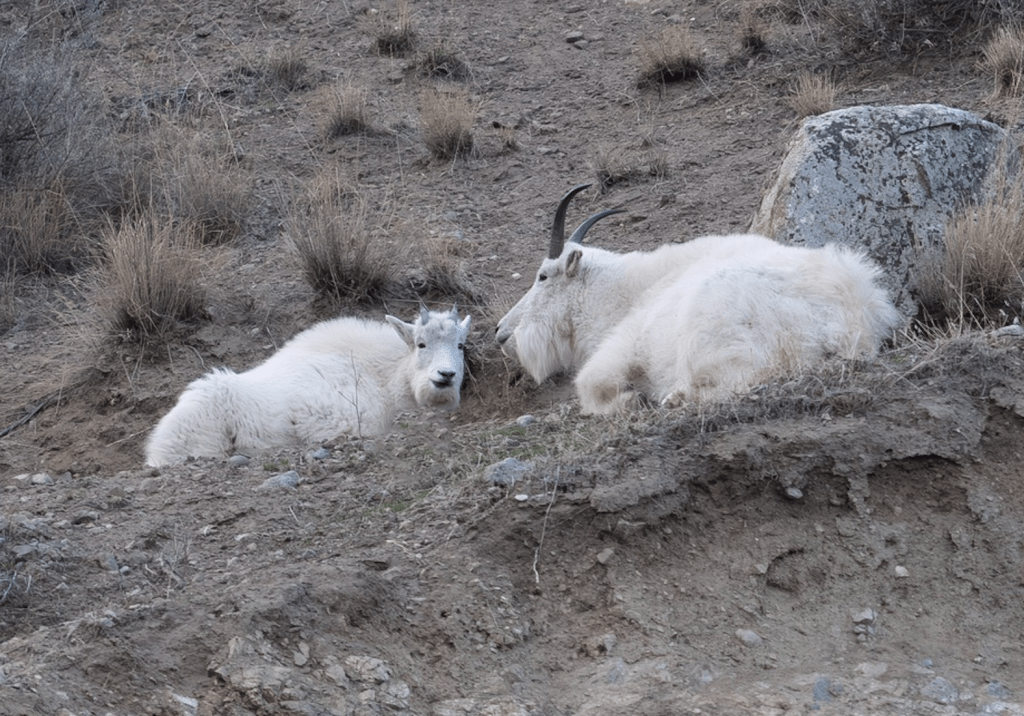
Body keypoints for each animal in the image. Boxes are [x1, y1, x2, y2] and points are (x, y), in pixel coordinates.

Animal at [145, 306, 472, 466]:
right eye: (421, 343)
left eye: (460, 345)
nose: (445, 375)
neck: (383, 375)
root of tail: (157, 447)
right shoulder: (333, 418)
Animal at [496, 185, 900, 414]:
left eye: (543, 276)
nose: (501, 333)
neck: (625, 293)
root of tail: (852, 320)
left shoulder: (621, 349)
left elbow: (591, 388)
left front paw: (631, 401)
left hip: (718, 338)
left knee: (742, 382)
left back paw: (674, 398)